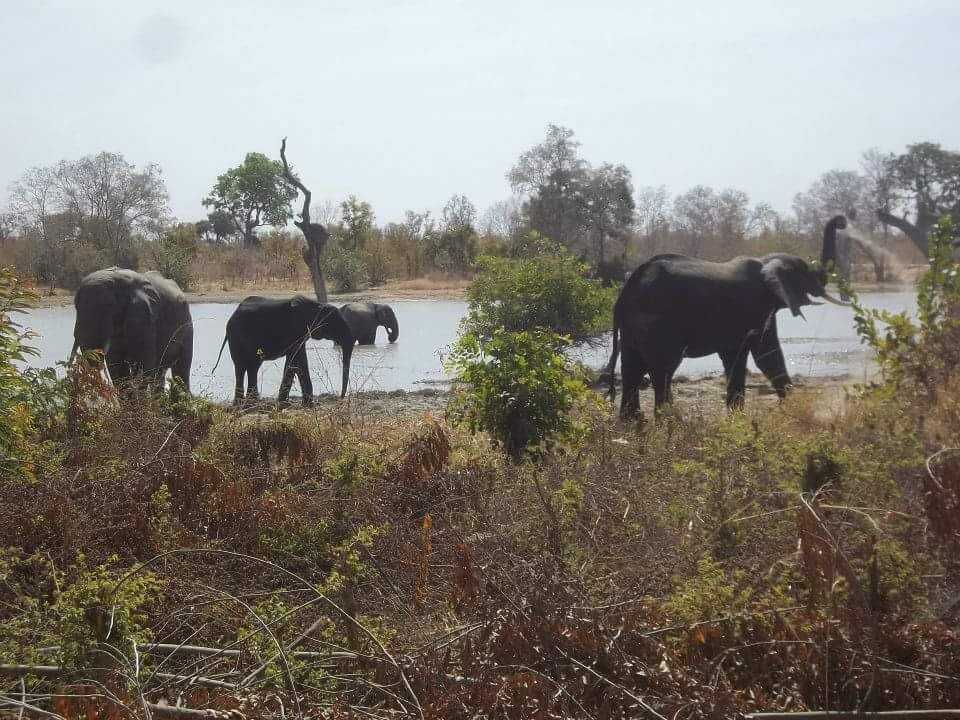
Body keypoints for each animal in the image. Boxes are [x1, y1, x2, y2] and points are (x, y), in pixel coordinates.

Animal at [213, 295, 354, 405]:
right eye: (336, 324)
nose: (341, 397)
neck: (316, 306)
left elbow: (296, 361)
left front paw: (294, 403)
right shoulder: (295, 330)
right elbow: (298, 360)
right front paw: (302, 404)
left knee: (253, 366)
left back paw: (252, 402)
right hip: (236, 337)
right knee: (241, 366)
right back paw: (243, 403)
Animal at [605, 252, 849, 418]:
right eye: (806, 273)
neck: (766, 261)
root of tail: (625, 292)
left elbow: (739, 357)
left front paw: (737, 416)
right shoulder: (757, 307)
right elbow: (766, 355)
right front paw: (790, 405)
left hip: (634, 326)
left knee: (632, 369)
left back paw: (634, 421)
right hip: (658, 323)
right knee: (662, 370)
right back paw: (669, 420)